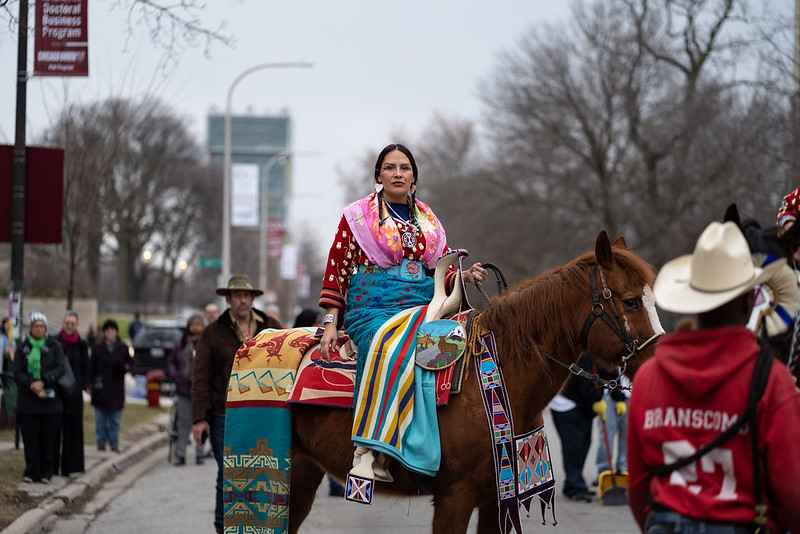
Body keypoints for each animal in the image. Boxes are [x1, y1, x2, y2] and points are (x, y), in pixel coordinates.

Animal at [288, 232, 656, 532]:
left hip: (303, 475)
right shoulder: (455, 497)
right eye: (631, 301)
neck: (499, 378)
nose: (657, 358)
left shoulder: (496, 497)